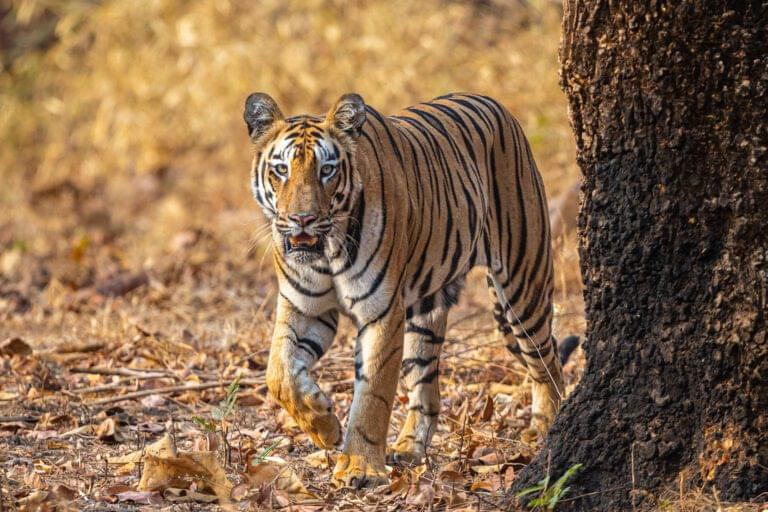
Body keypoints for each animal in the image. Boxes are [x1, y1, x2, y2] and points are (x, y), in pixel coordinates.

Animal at [244, 92, 572, 488]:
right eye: (281, 170)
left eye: (327, 170)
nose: (302, 219)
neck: (326, 252)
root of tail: (496, 104)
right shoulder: (305, 308)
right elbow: (278, 374)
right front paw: (324, 425)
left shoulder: (382, 312)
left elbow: (373, 395)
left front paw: (360, 466)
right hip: (426, 313)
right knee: (427, 390)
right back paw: (407, 448)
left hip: (524, 280)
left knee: (547, 358)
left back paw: (545, 427)